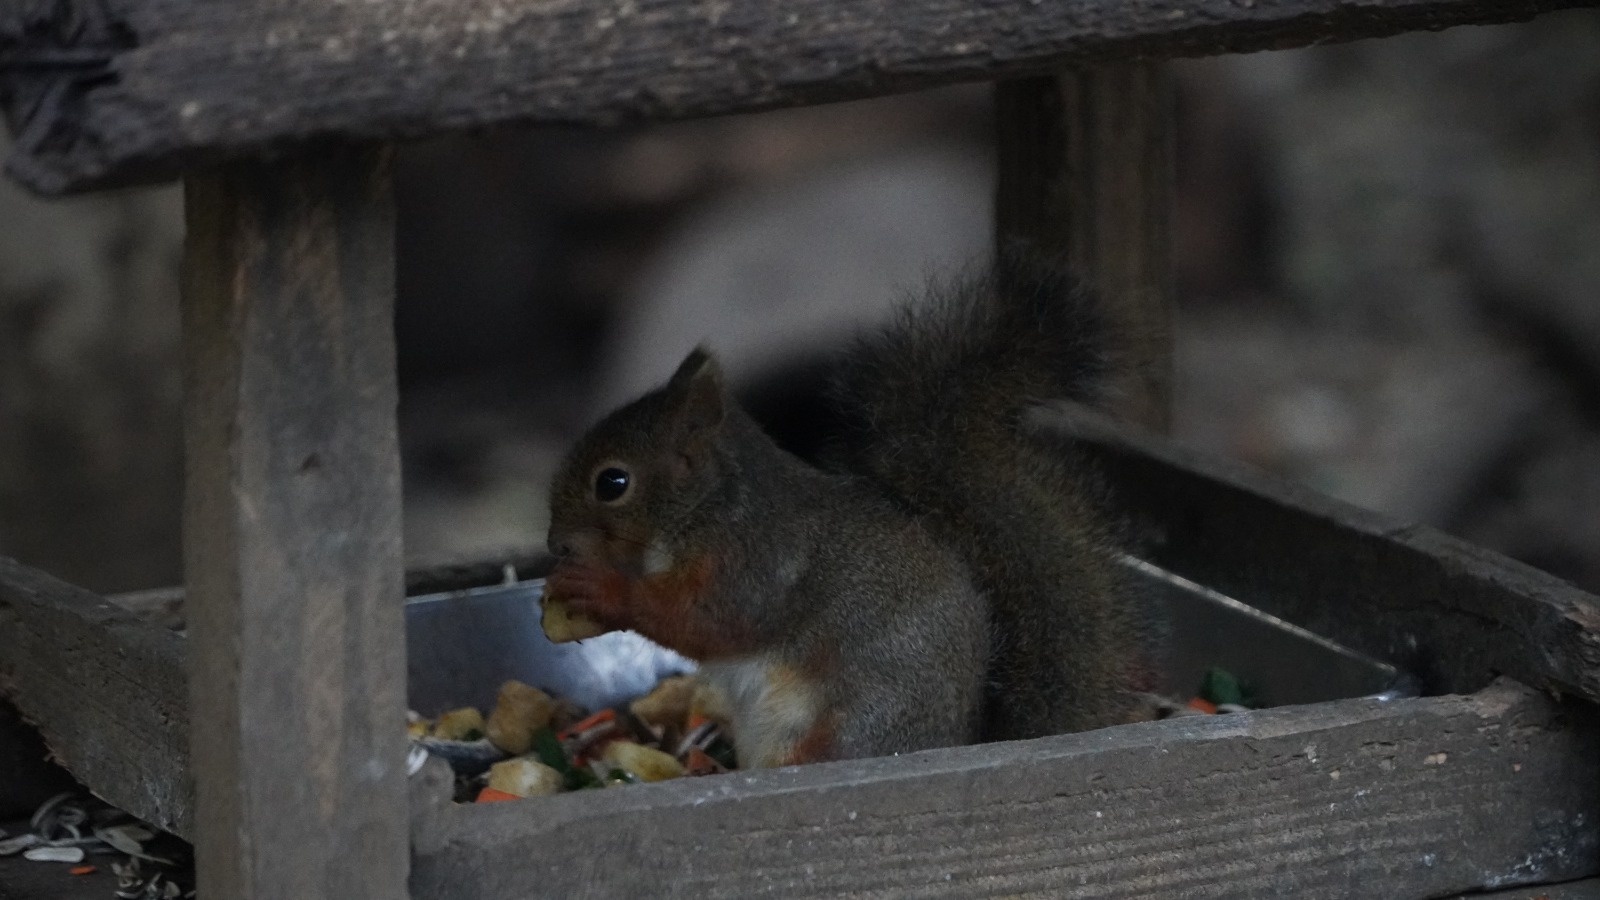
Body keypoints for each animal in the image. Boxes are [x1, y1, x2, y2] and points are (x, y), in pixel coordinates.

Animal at [544, 246, 1158, 762]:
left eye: (613, 483)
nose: (555, 544)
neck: (710, 512)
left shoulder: (757, 563)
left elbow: (709, 621)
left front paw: (601, 590)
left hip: (853, 727)